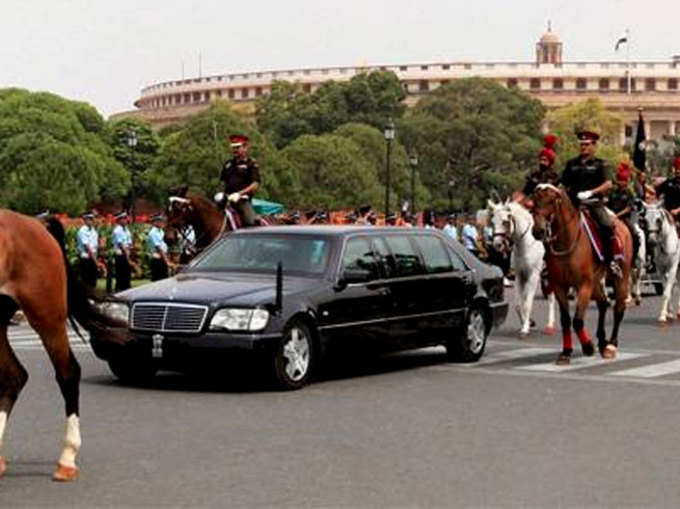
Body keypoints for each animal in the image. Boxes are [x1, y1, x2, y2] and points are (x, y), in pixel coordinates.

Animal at [488, 198, 552, 338]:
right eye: (493, 221)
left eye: (505, 222)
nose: (497, 244)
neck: (525, 244)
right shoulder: (519, 275)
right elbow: (519, 304)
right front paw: (527, 322)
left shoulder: (533, 275)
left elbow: (527, 303)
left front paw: (525, 328)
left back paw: (550, 325)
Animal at [532, 185, 632, 364]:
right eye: (534, 201)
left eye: (550, 201)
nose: (538, 231)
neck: (567, 240)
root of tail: (621, 223)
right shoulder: (559, 286)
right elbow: (566, 320)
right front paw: (566, 352)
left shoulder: (584, 285)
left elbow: (578, 320)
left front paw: (587, 347)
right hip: (596, 282)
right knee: (603, 303)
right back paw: (602, 342)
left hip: (621, 278)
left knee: (618, 309)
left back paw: (611, 345)